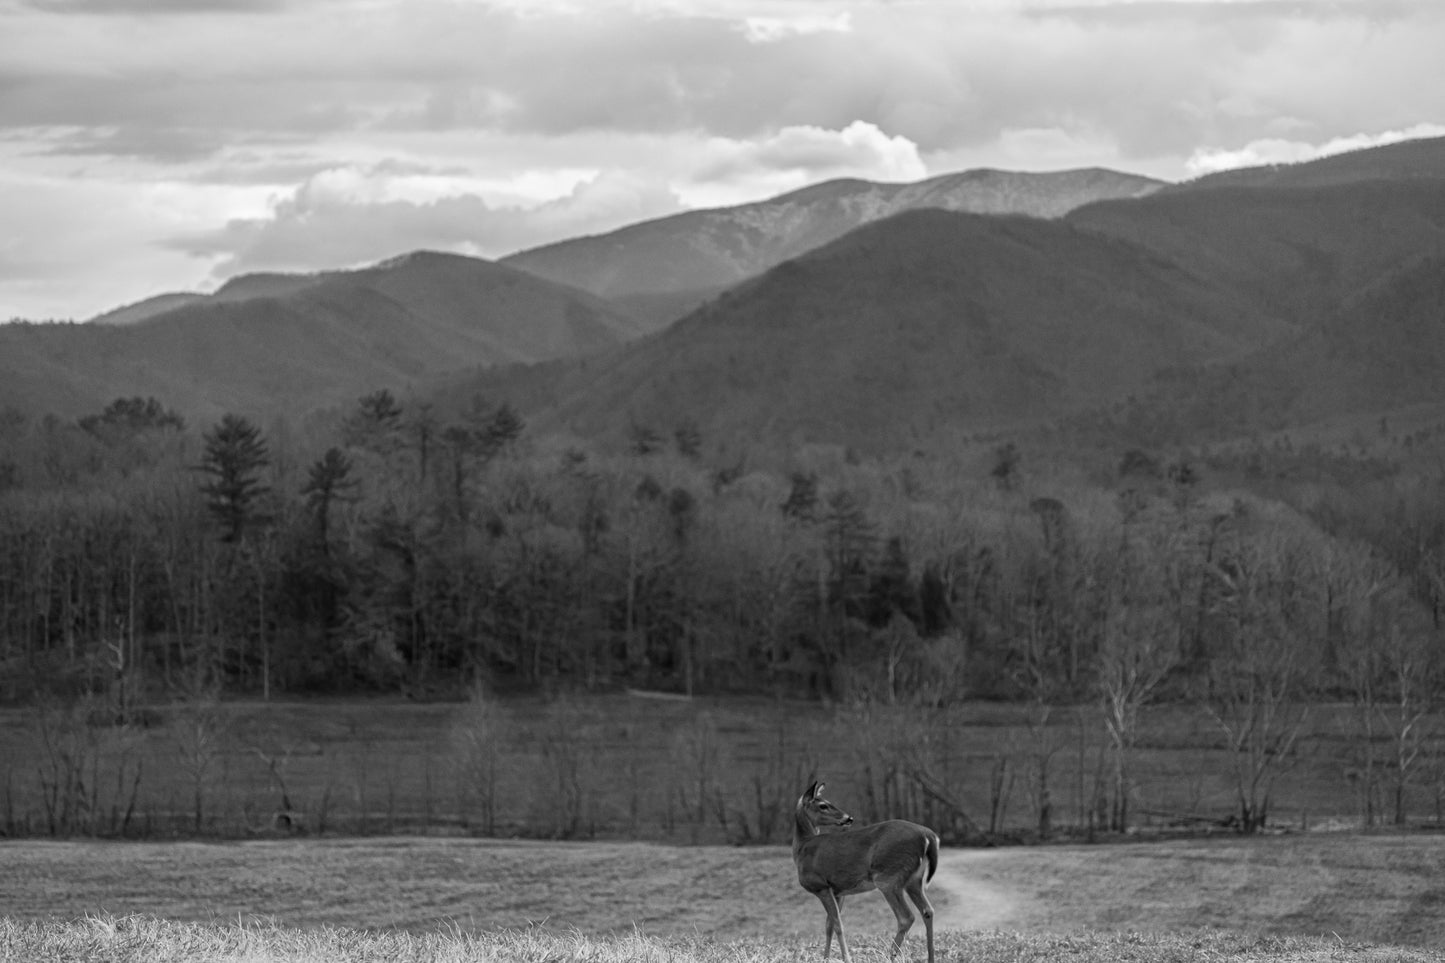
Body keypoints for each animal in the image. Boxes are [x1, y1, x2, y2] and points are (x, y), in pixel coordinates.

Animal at [797, 780, 942, 960]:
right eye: (823, 805)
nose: (849, 818)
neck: (801, 847)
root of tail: (928, 835)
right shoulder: (838, 891)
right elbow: (829, 924)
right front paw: (826, 958)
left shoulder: (820, 885)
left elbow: (837, 923)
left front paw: (846, 958)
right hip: (914, 879)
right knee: (928, 910)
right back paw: (930, 957)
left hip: (888, 876)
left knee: (906, 917)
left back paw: (890, 955)